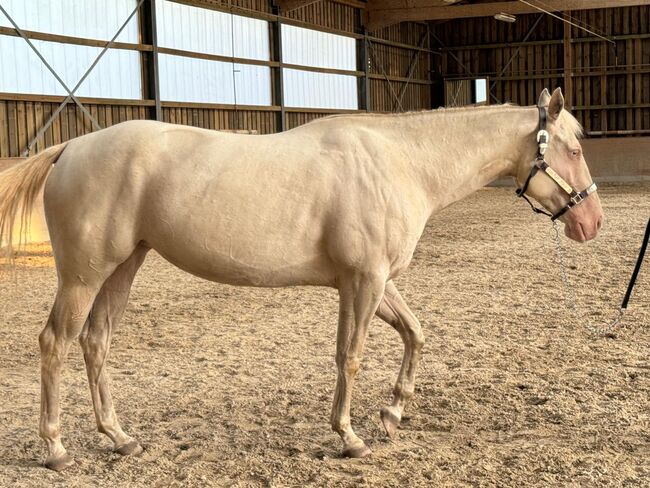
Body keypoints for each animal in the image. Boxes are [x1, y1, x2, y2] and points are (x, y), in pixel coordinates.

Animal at [0, 86, 604, 468]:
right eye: (574, 149)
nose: (592, 222)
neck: (401, 162)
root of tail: (71, 147)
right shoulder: (362, 282)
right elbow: (350, 356)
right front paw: (349, 436)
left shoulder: (375, 281)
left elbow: (415, 333)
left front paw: (393, 411)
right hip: (84, 275)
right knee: (56, 342)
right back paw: (55, 449)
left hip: (123, 267)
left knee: (96, 343)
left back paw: (120, 439)